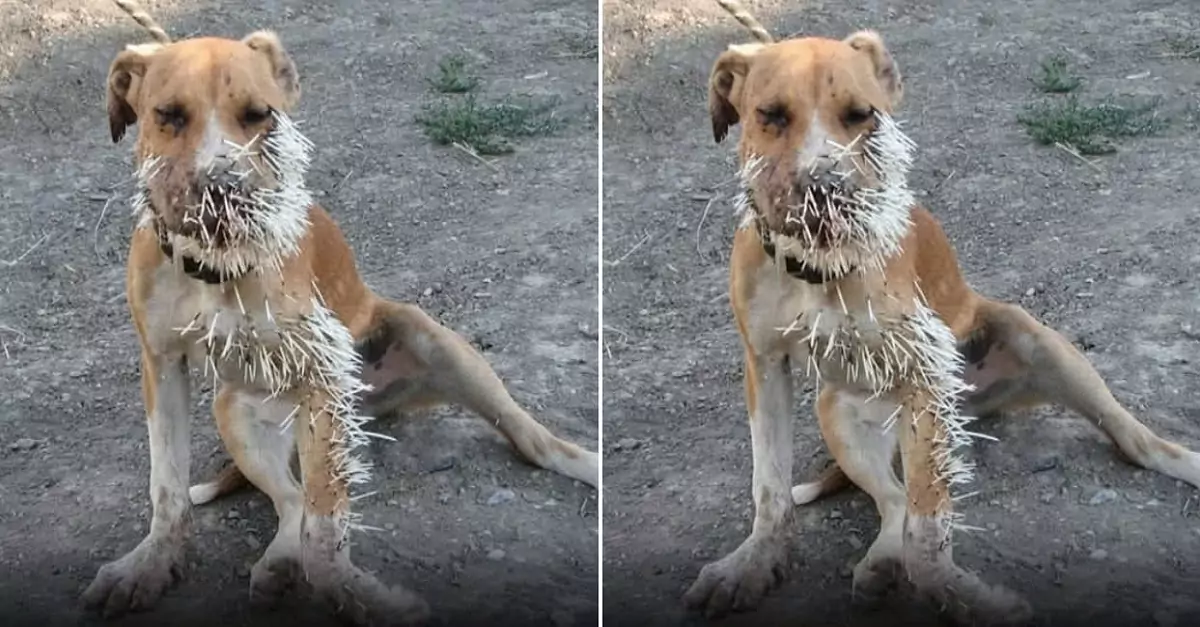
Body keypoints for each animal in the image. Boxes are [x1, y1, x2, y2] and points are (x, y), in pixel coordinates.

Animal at [82, 6, 597, 624]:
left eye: (259, 115)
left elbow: (327, 531)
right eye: (168, 116)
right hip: (237, 412)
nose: (224, 190)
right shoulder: (162, 367)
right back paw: (278, 565)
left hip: (435, 349)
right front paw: (150, 564)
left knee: (532, 441)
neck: (218, 269)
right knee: (291, 501)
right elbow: (167, 484)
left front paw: (361, 597)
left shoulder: (319, 372)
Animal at [681, 2, 1200, 619]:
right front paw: (753, 563)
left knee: (1136, 442)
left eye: (862, 115)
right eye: (771, 116)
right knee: (894, 499)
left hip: (1039, 349)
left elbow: (930, 530)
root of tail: (968, 405)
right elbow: (770, 484)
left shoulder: (921, 372)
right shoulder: (765, 367)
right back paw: (882, 563)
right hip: (840, 413)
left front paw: (963, 596)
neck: (822, 268)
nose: (826, 189)